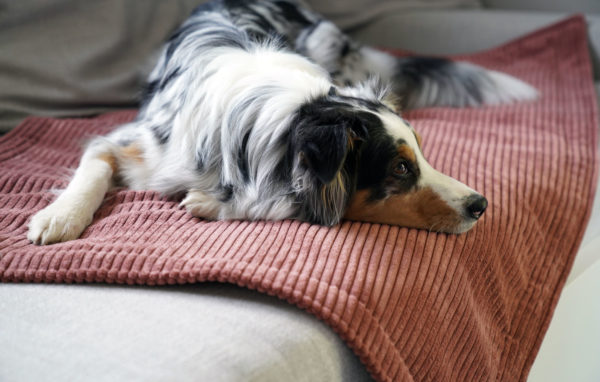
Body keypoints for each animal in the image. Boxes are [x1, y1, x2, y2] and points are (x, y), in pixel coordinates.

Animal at [25, 0, 536, 245]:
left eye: (423, 156)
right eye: (400, 168)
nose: (480, 205)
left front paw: (211, 203)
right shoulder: (136, 144)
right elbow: (92, 167)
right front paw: (60, 216)